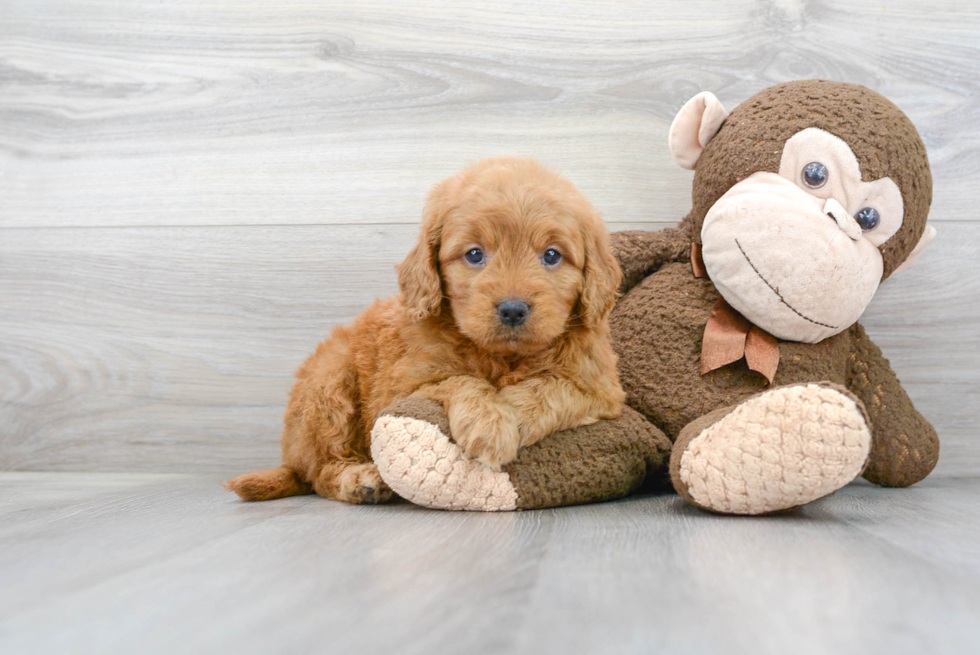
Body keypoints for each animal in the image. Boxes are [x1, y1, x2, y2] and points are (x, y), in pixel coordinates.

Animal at [226, 156, 624, 504]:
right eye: (475, 254)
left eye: (552, 255)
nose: (512, 309)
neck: (501, 357)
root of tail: (291, 458)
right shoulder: (403, 385)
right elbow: (458, 380)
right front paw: (490, 422)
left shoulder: (603, 389)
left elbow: (555, 388)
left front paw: (513, 412)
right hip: (328, 385)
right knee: (321, 472)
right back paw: (360, 481)